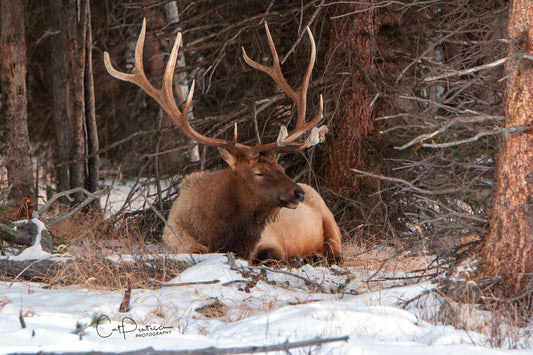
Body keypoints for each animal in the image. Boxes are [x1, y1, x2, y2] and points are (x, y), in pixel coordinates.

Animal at [105, 19, 340, 264]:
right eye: (258, 172)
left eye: (281, 168)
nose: (298, 193)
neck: (221, 234)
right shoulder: (180, 241)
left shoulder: (269, 240)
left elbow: (270, 253)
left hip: (331, 222)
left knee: (336, 253)